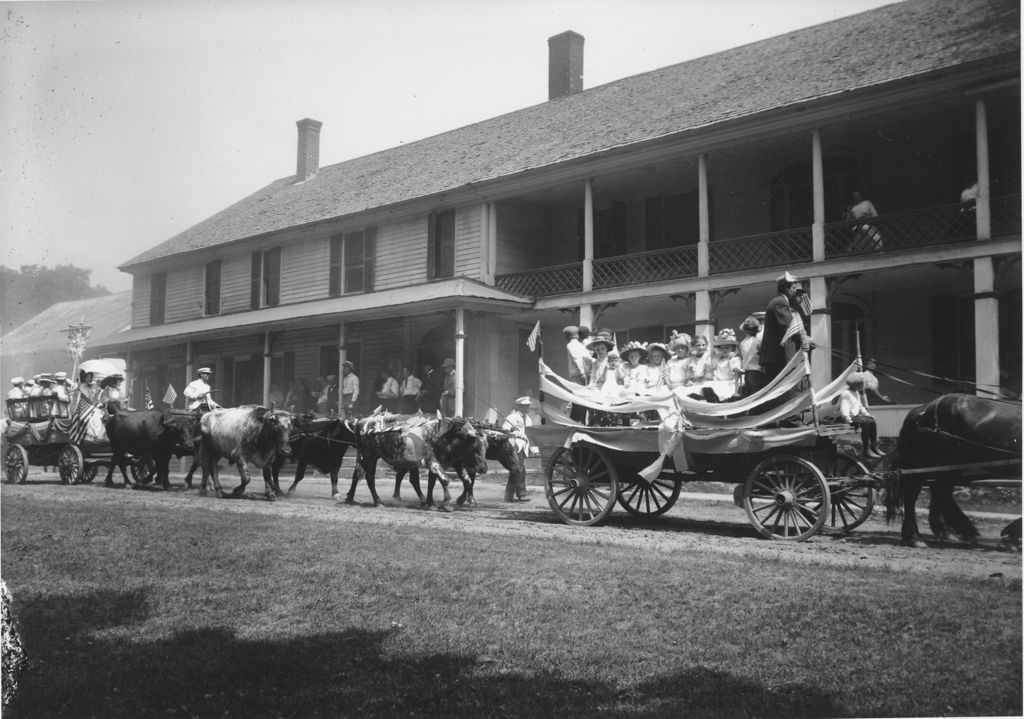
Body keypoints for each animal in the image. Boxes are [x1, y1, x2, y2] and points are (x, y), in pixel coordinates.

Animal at [884, 397, 1019, 548]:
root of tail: (922, 410)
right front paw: (1011, 535)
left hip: (947, 467)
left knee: (940, 491)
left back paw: (949, 531)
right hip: (922, 465)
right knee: (912, 495)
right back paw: (914, 537)